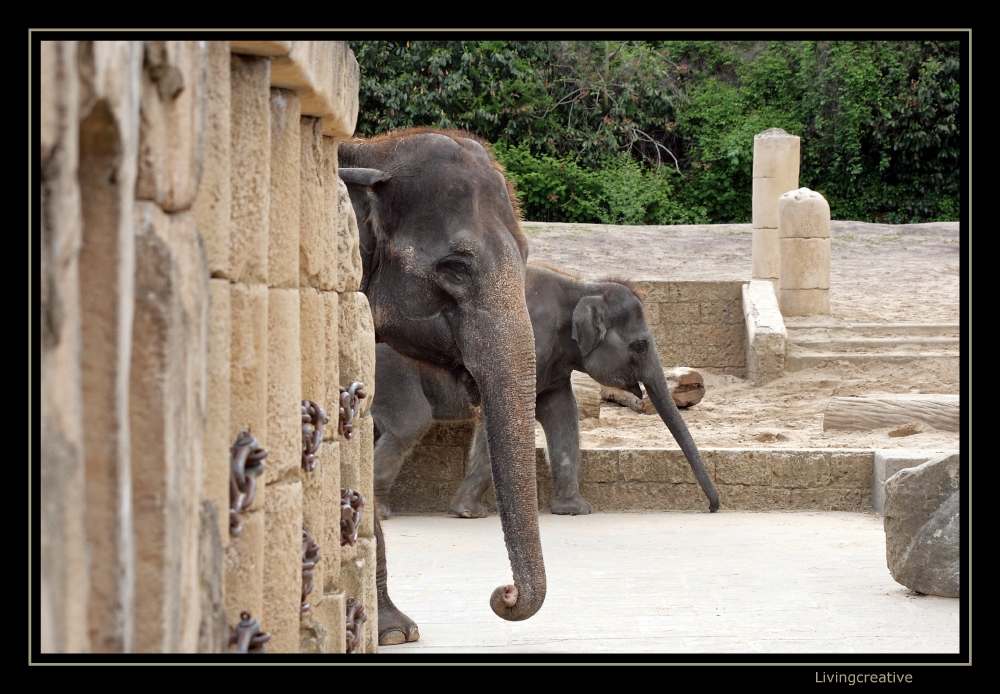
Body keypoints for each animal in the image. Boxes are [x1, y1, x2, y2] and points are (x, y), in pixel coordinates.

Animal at [368, 264, 720, 520]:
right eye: (641, 345)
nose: (712, 508)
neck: (580, 287)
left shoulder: (553, 365)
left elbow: (563, 416)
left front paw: (576, 510)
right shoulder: (523, 348)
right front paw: (468, 513)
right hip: (389, 368)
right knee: (410, 423)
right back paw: (380, 514)